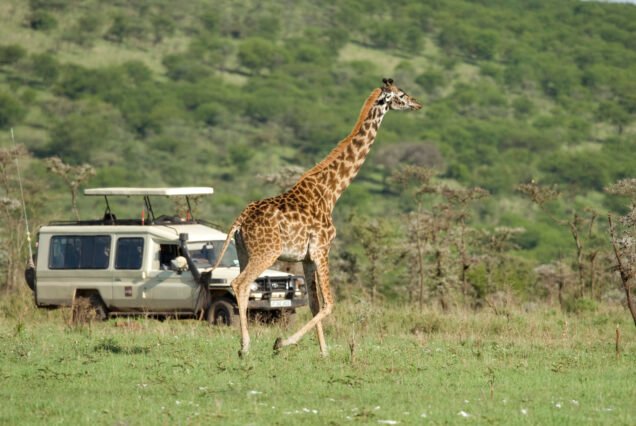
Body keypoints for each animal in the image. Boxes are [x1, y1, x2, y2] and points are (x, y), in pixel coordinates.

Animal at [206, 77, 422, 356]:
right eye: (402, 95)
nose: (418, 104)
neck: (331, 191)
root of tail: (240, 220)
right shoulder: (322, 248)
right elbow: (329, 303)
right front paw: (282, 342)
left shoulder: (307, 257)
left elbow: (315, 303)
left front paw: (324, 352)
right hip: (267, 253)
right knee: (241, 284)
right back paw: (245, 347)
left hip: (244, 252)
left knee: (241, 285)